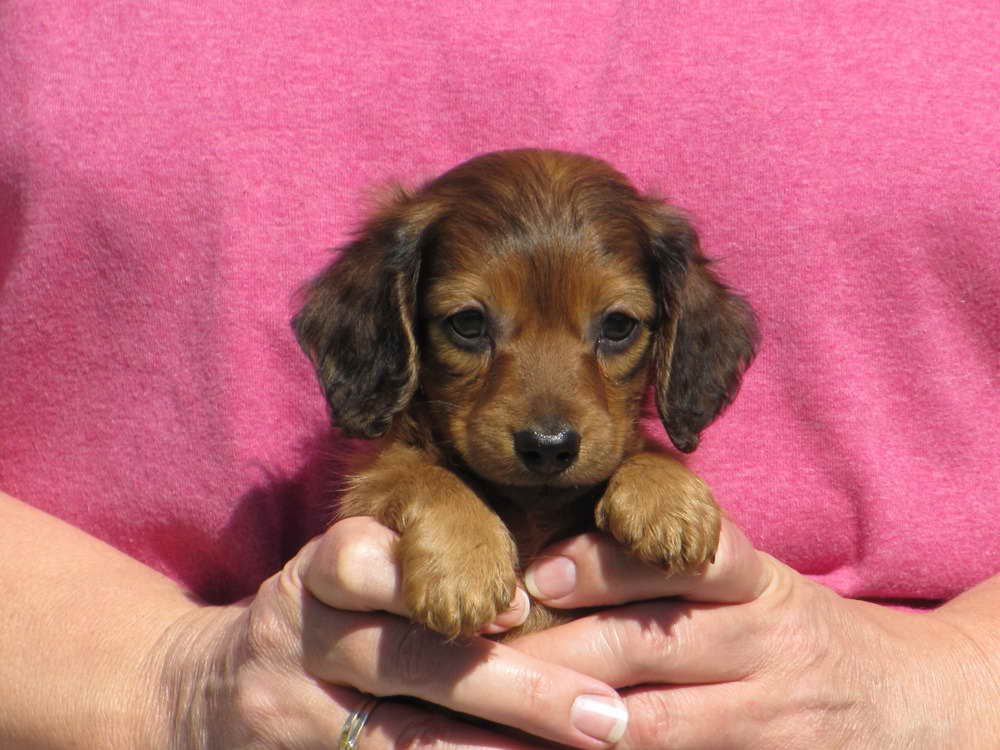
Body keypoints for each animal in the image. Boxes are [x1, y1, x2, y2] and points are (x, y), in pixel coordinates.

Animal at [292, 148, 752, 640]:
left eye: (618, 325)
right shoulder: (361, 494)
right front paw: (465, 561)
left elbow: (640, 450)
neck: (534, 510)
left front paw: (667, 496)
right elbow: (416, 473)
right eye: (468, 323)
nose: (548, 448)